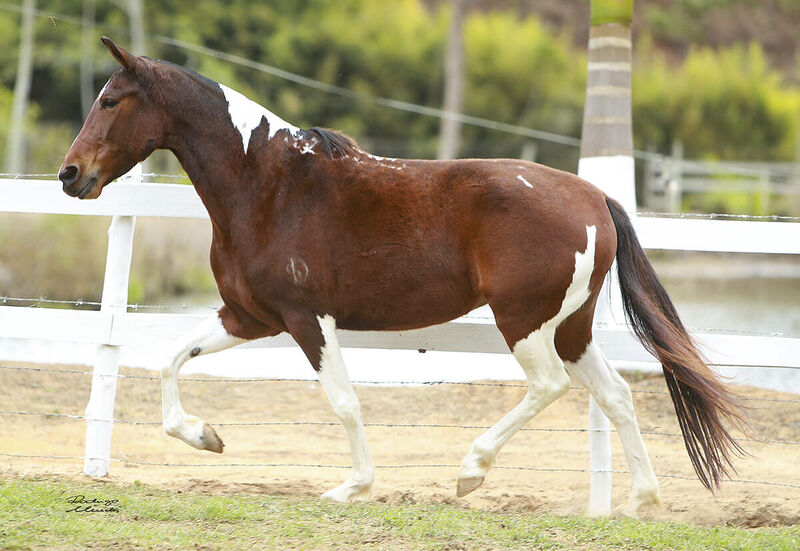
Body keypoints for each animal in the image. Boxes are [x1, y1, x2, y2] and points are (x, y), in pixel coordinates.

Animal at [59, 38, 748, 516]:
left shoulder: (307, 320)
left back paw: (471, 470)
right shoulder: (249, 317)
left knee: (549, 386)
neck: (268, 186)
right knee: (618, 396)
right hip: (571, 327)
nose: (70, 175)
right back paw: (638, 503)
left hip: (525, 322)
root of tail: (595, 196)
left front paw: (351, 488)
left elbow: (343, 402)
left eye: (111, 101)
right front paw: (205, 436)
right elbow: (170, 360)